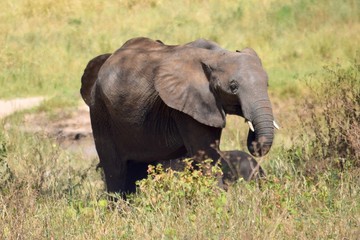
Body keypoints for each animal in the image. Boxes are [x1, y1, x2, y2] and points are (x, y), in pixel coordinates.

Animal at [81, 37, 278, 195]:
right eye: (233, 87)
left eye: (267, 84)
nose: (254, 138)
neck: (216, 55)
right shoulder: (186, 104)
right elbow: (205, 154)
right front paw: (220, 200)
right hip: (100, 112)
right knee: (115, 170)